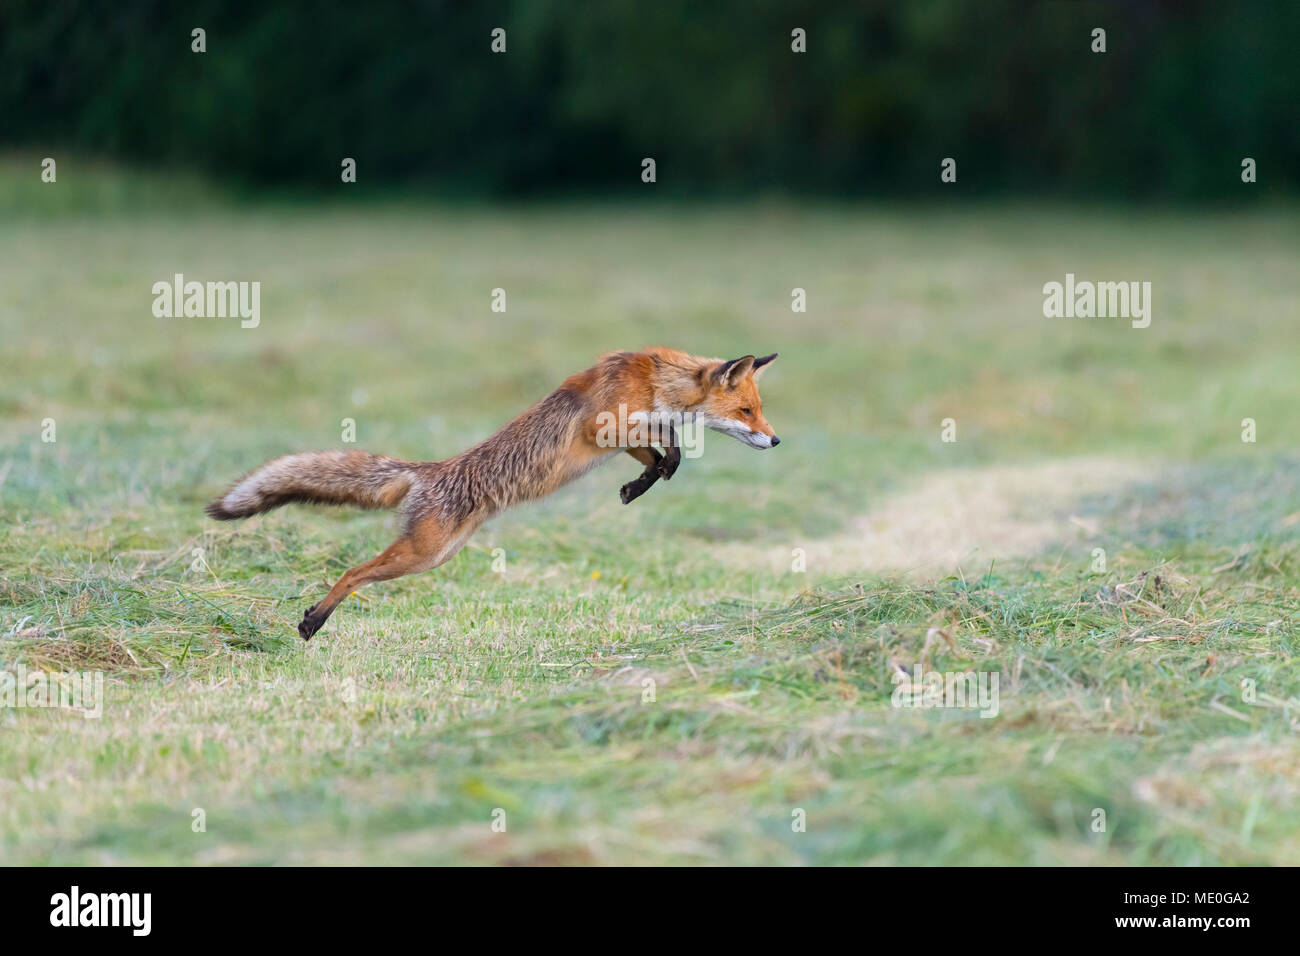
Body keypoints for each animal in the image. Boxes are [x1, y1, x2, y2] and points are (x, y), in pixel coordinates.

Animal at [206, 347, 780, 639]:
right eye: (747, 411)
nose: (776, 440)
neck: (657, 379)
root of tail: (433, 471)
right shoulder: (602, 427)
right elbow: (670, 446)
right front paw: (644, 482)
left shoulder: (622, 435)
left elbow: (667, 451)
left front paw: (639, 485)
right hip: (421, 555)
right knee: (352, 572)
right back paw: (313, 620)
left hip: (436, 555)